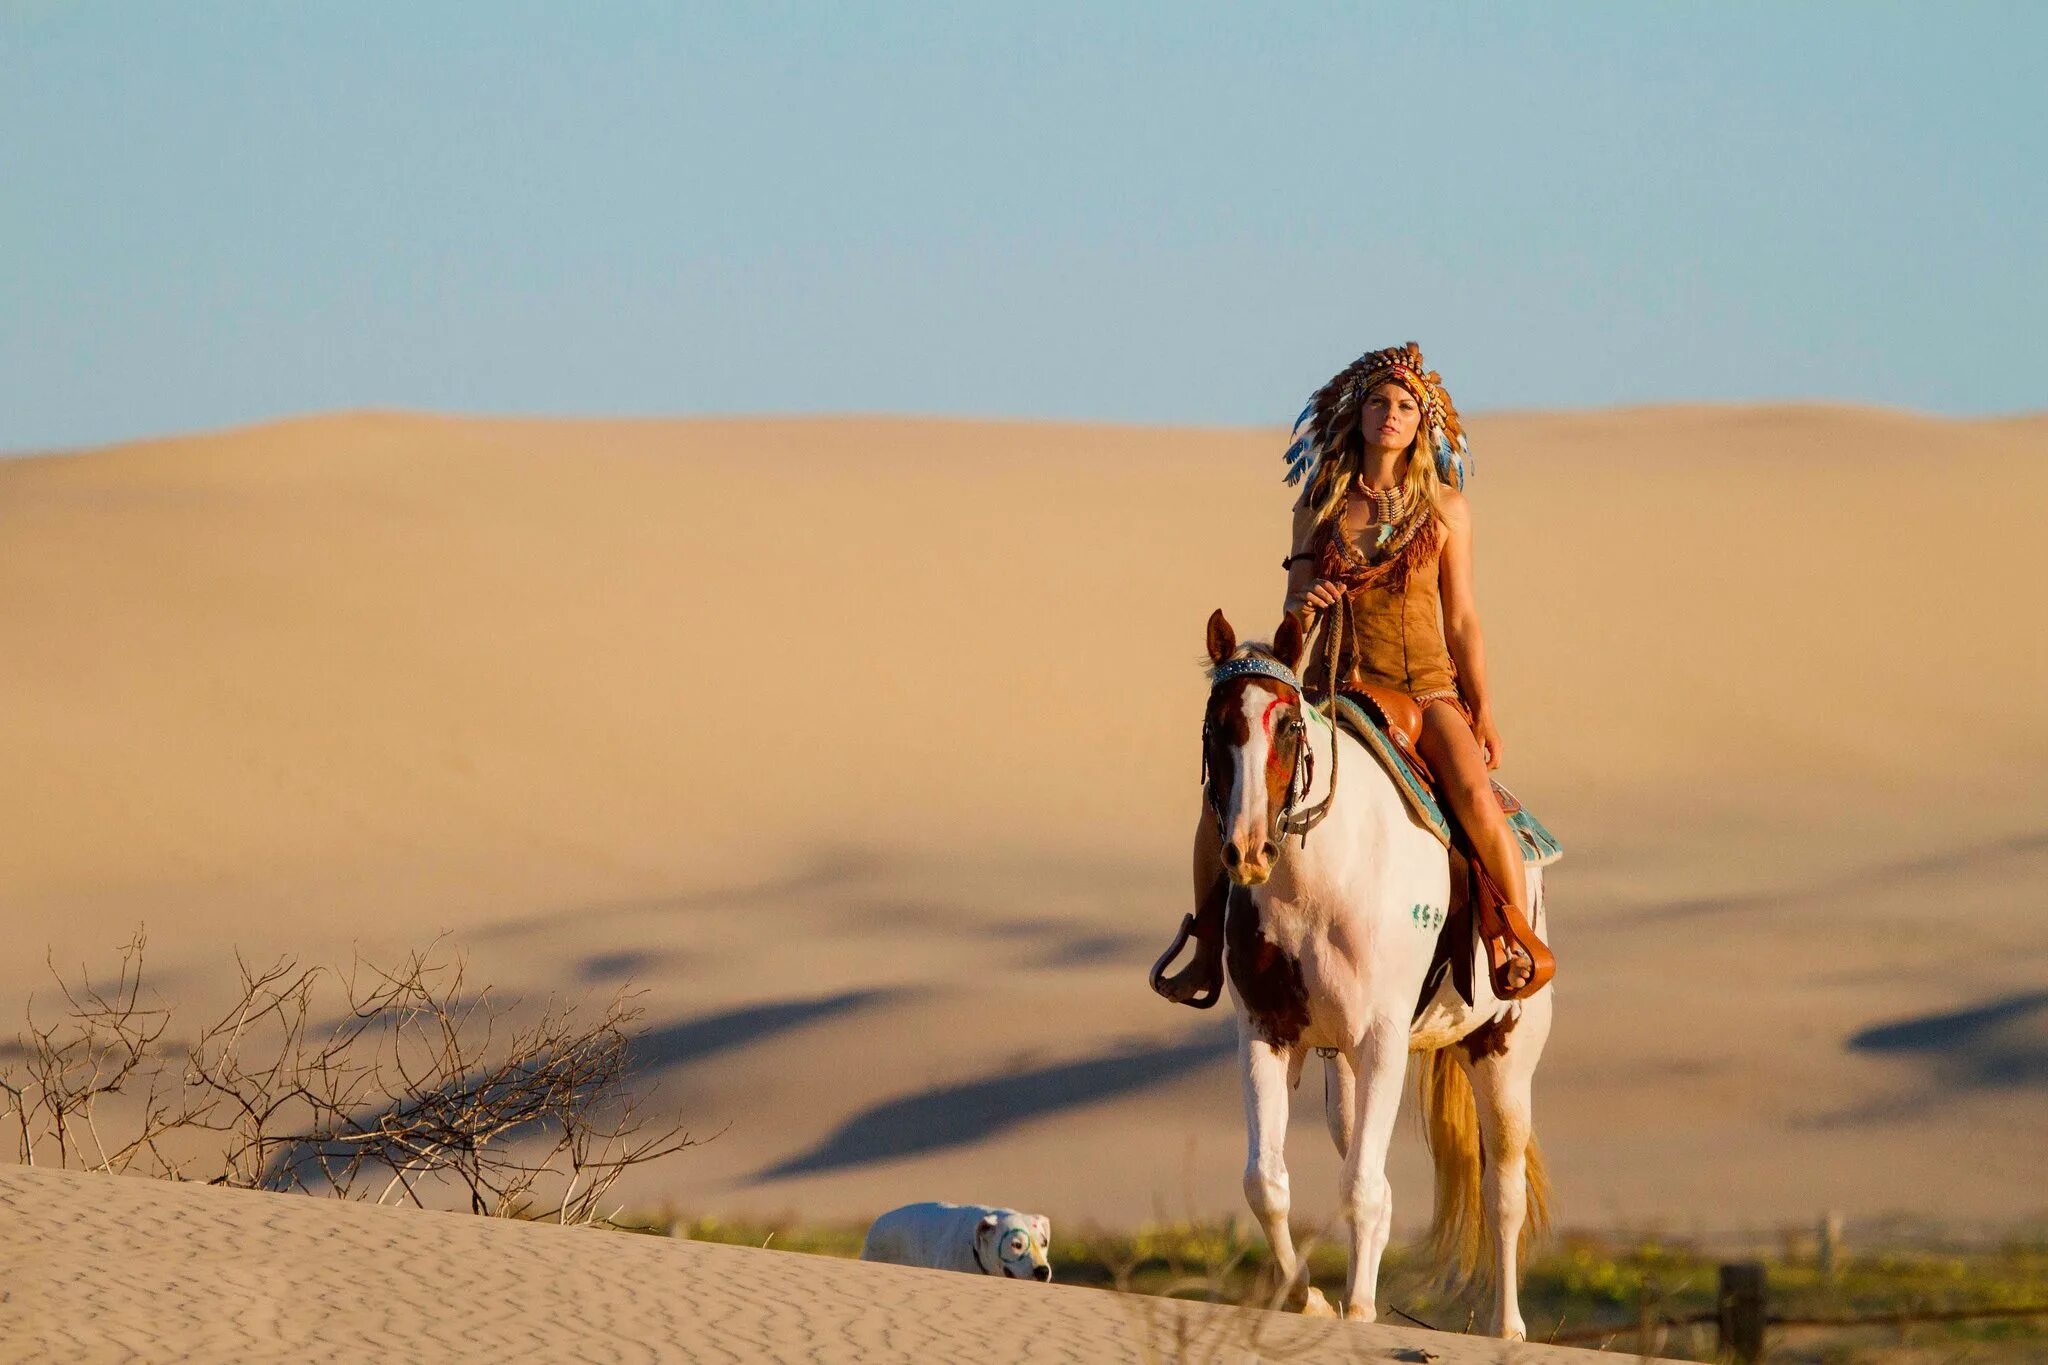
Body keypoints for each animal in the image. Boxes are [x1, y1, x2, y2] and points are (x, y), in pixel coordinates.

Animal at [1196, 613, 1548, 1342]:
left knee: (1502, 1193)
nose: (1247, 850)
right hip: (1347, 1074)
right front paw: (1314, 1301)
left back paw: (1507, 1329)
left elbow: (1359, 1187)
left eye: (1289, 725)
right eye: (1216, 729)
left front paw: (1355, 1310)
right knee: (1375, 1177)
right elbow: (1267, 1182)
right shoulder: (1268, 1035)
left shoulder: (1384, 1038)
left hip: (1501, 1056)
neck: (1318, 882)